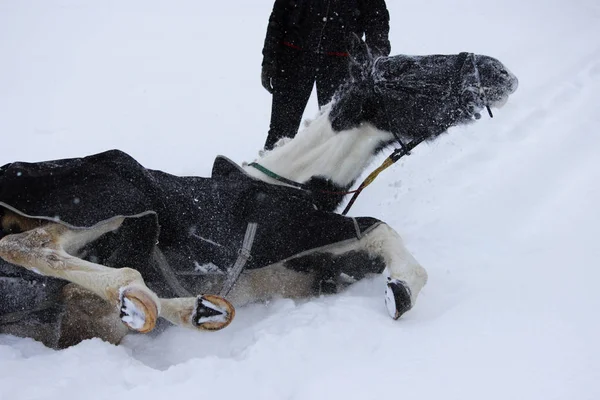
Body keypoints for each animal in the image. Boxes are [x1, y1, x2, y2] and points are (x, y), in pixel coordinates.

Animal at [0, 46, 516, 346]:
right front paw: (401, 291)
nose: (501, 71)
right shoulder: (287, 232)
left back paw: (192, 309)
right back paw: (142, 296)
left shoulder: (318, 269)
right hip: (120, 200)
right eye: (409, 68)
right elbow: (380, 227)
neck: (289, 184)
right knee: (27, 244)